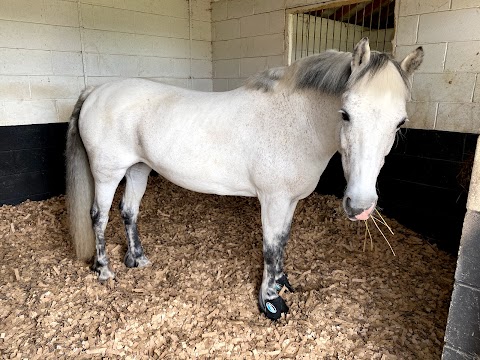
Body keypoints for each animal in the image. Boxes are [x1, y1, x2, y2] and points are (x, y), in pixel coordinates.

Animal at [66, 38, 424, 320]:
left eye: (400, 123)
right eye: (345, 114)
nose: (360, 206)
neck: (296, 123)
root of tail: (95, 91)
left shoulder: (289, 201)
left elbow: (282, 243)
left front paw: (281, 283)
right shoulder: (273, 200)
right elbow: (271, 246)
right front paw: (271, 302)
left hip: (138, 169)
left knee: (129, 212)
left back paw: (137, 260)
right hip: (107, 173)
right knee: (99, 216)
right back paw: (104, 270)